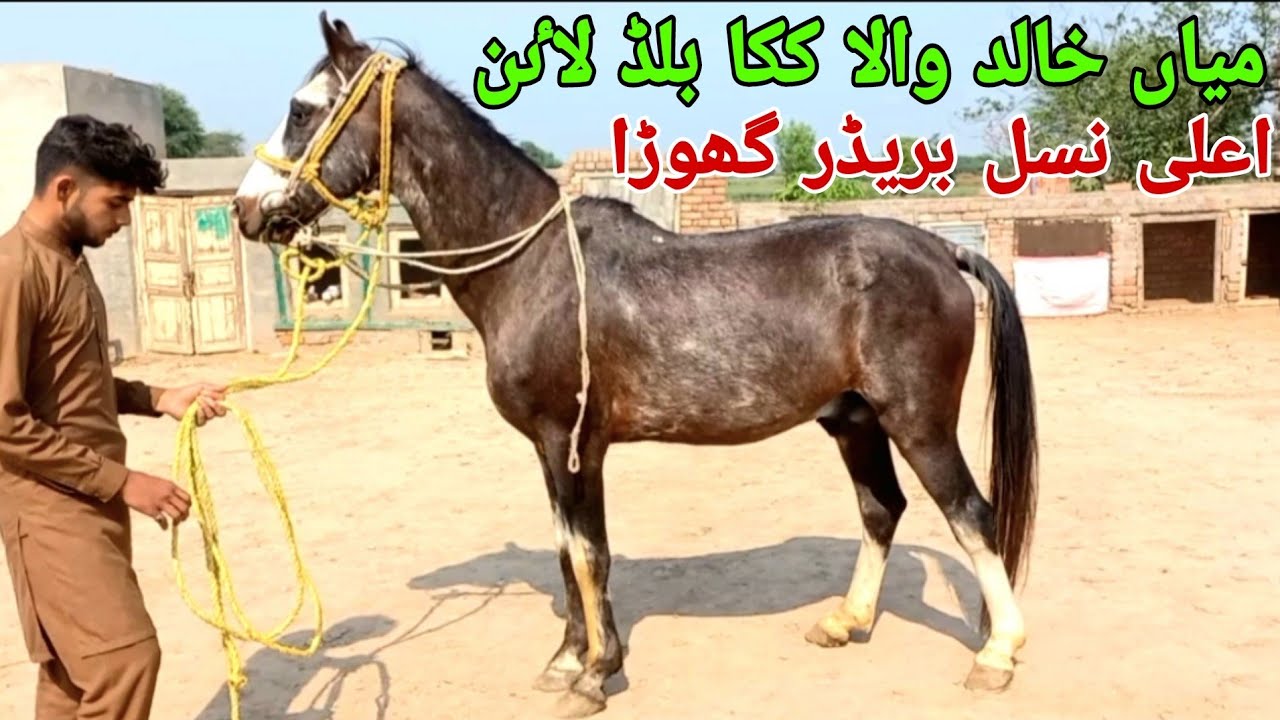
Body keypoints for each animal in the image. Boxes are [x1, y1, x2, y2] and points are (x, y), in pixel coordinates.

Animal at [230, 13, 1039, 718]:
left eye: (302, 111)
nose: (246, 209)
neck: (535, 265)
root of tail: (942, 248)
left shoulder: (574, 443)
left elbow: (591, 555)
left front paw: (596, 673)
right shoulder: (548, 449)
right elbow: (566, 553)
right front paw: (565, 659)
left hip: (918, 421)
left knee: (972, 515)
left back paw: (998, 654)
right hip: (854, 421)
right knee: (882, 510)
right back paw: (846, 621)